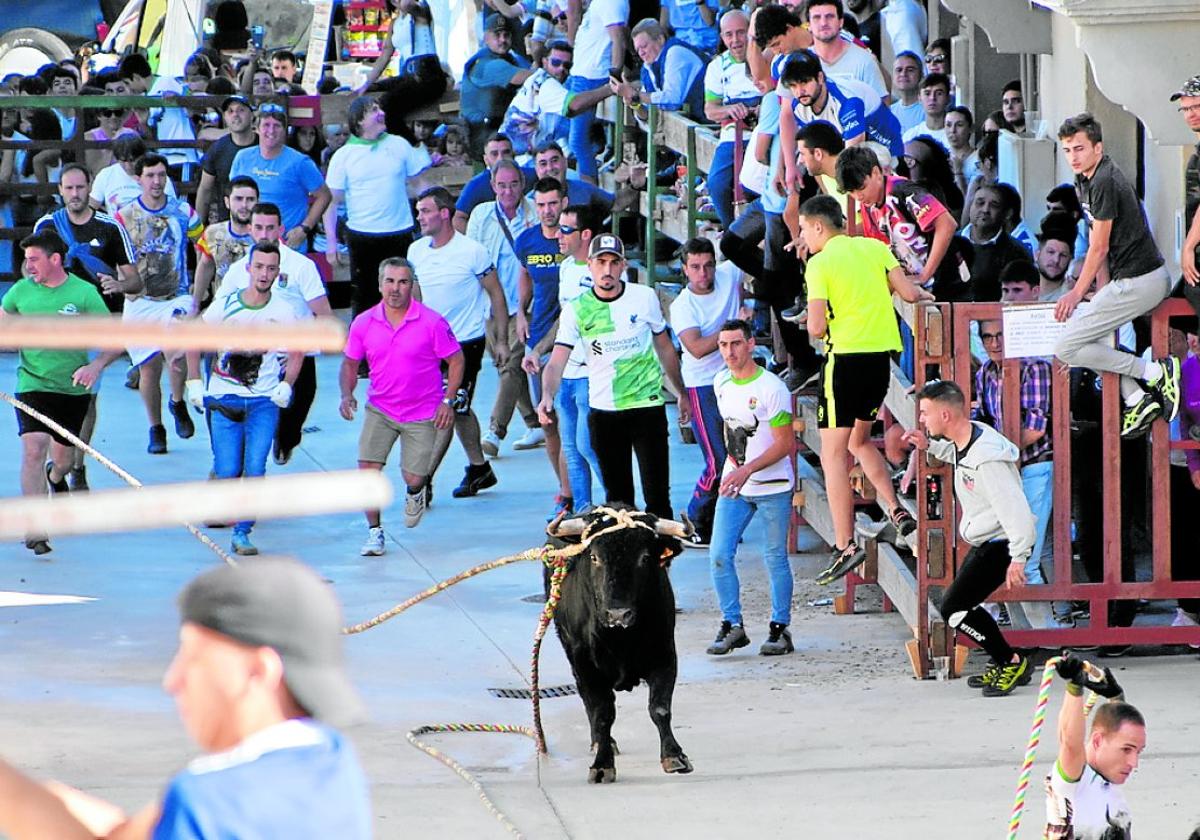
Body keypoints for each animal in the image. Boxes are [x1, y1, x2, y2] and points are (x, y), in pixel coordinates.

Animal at [544, 501, 696, 782]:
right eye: (594, 557)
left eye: (644, 558)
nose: (618, 615)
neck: (621, 638)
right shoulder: (585, 664)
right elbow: (602, 712)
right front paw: (602, 764)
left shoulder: (665, 654)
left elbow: (660, 708)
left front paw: (674, 756)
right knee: (589, 703)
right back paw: (599, 743)